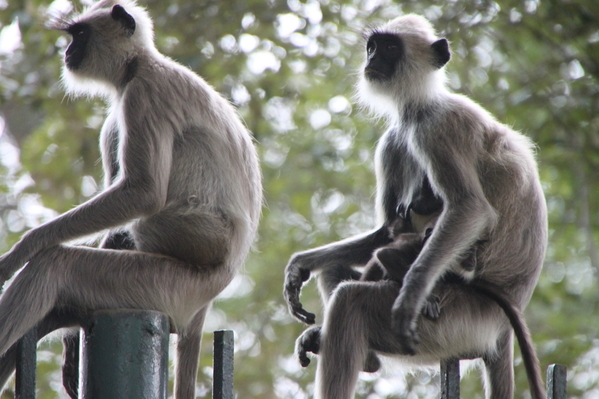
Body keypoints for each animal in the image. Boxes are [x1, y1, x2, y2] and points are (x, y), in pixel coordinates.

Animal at [0, 1, 262, 398]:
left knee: (57, 265)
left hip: (171, 283)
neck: (137, 65)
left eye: (79, 35)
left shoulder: (143, 93)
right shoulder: (117, 116)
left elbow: (144, 192)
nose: (67, 52)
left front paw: (24, 249)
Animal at [284, 13, 548, 399]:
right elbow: (385, 231)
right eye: (372, 46)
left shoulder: (437, 127)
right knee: (339, 270)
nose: (372, 59)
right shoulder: (393, 140)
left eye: (390, 47)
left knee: (350, 302)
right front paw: (300, 265)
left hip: (456, 323)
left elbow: (470, 209)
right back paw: (364, 356)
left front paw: (411, 295)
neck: (418, 108)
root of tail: (500, 328)